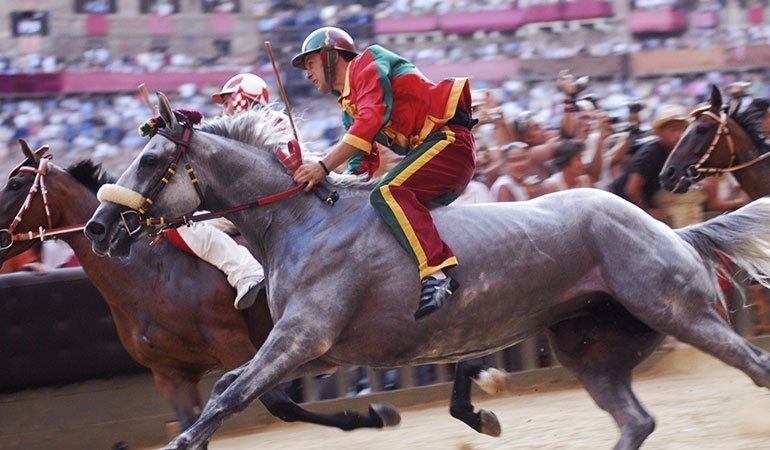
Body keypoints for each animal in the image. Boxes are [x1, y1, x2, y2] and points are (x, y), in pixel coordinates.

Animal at [0, 141, 402, 440]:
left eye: (15, 186)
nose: (97, 230)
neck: (150, 276)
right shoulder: (170, 373)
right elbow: (195, 420)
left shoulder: (232, 342)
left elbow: (277, 404)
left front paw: (372, 415)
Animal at [86, 93, 770, 450]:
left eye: (151, 160)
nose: (97, 227)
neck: (299, 221)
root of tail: (669, 229)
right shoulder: (318, 349)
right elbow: (245, 388)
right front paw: (380, 414)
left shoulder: (303, 335)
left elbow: (231, 392)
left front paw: (184, 441)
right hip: (593, 348)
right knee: (636, 421)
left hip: (678, 309)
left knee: (755, 365)